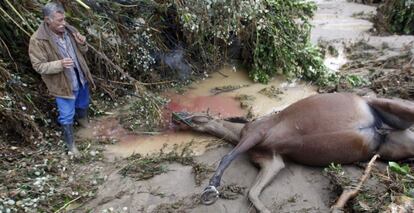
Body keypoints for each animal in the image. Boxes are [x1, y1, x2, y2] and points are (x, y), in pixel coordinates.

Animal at [172, 92, 414, 212]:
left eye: (197, 114)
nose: (175, 116)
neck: (240, 130)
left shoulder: (255, 134)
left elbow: (227, 157)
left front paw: (211, 188)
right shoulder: (272, 162)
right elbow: (253, 194)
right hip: (395, 147)